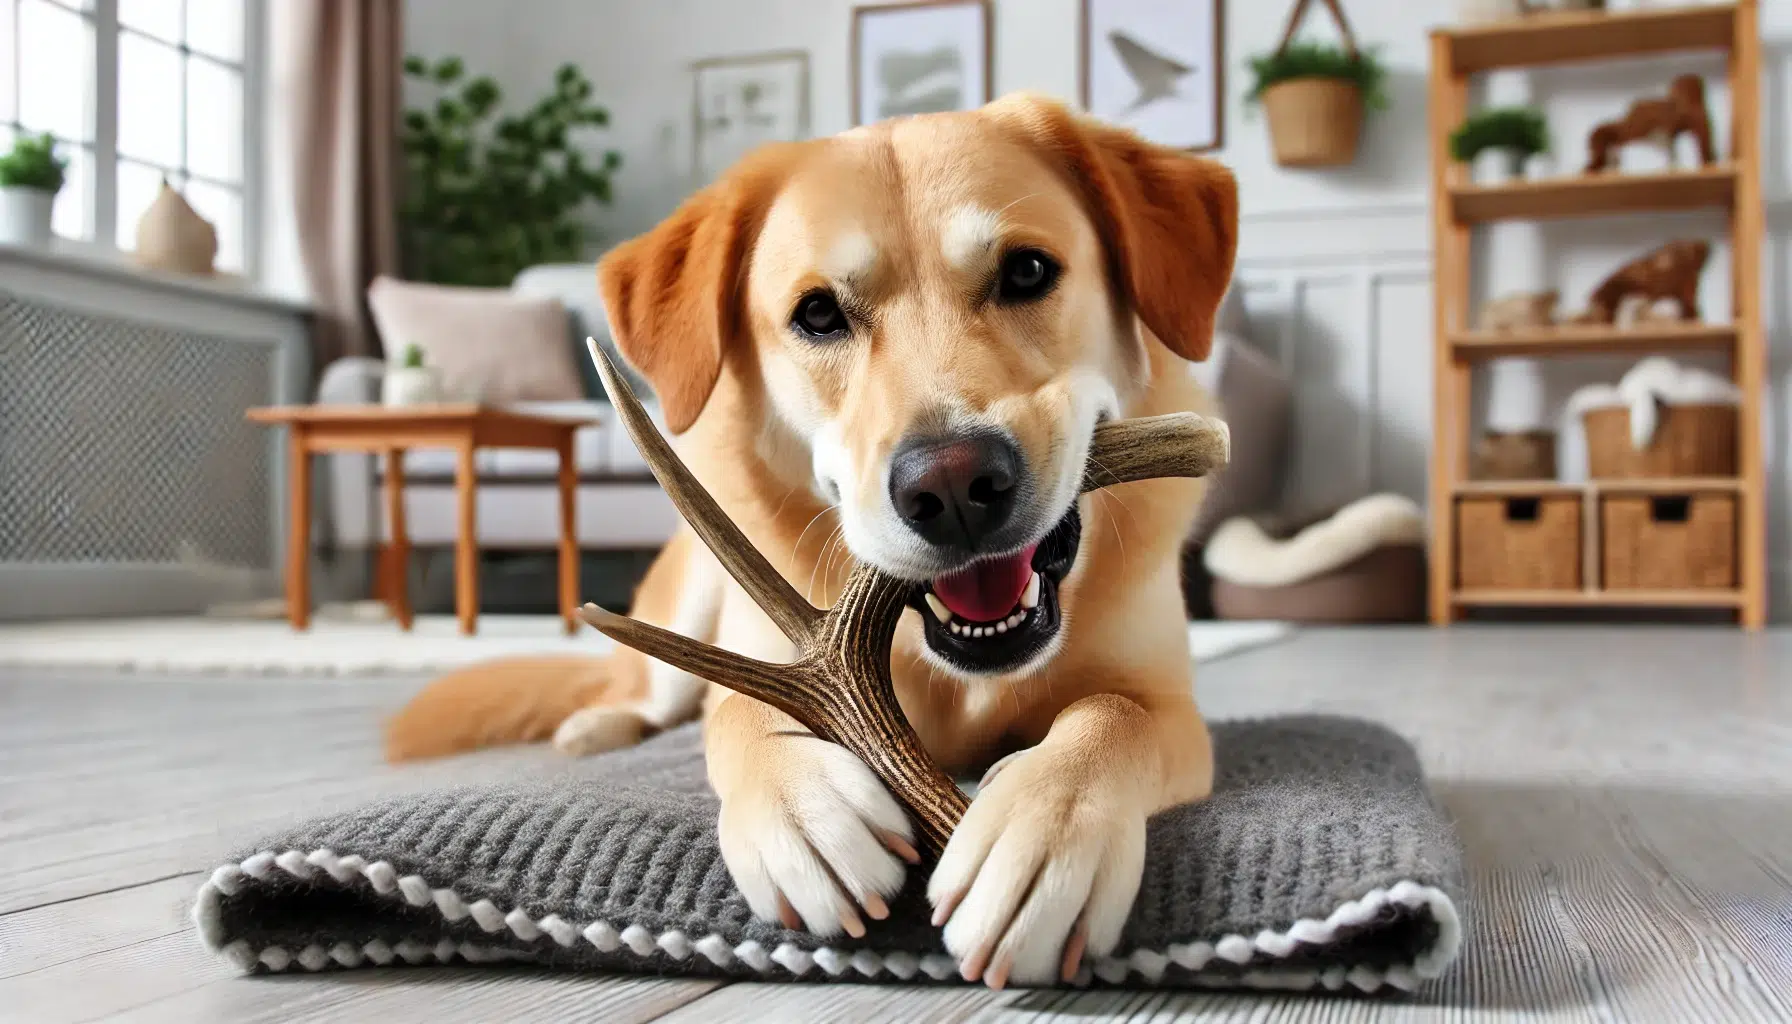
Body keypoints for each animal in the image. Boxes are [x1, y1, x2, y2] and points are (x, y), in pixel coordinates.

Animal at [385, 92, 1240, 989]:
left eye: (1029, 272)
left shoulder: (1166, 704)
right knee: (643, 694)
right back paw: (598, 727)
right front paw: (802, 809)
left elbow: (1111, 717)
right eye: (819, 313)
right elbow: (739, 715)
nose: (952, 488)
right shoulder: (758, 667)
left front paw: (1039, 831)